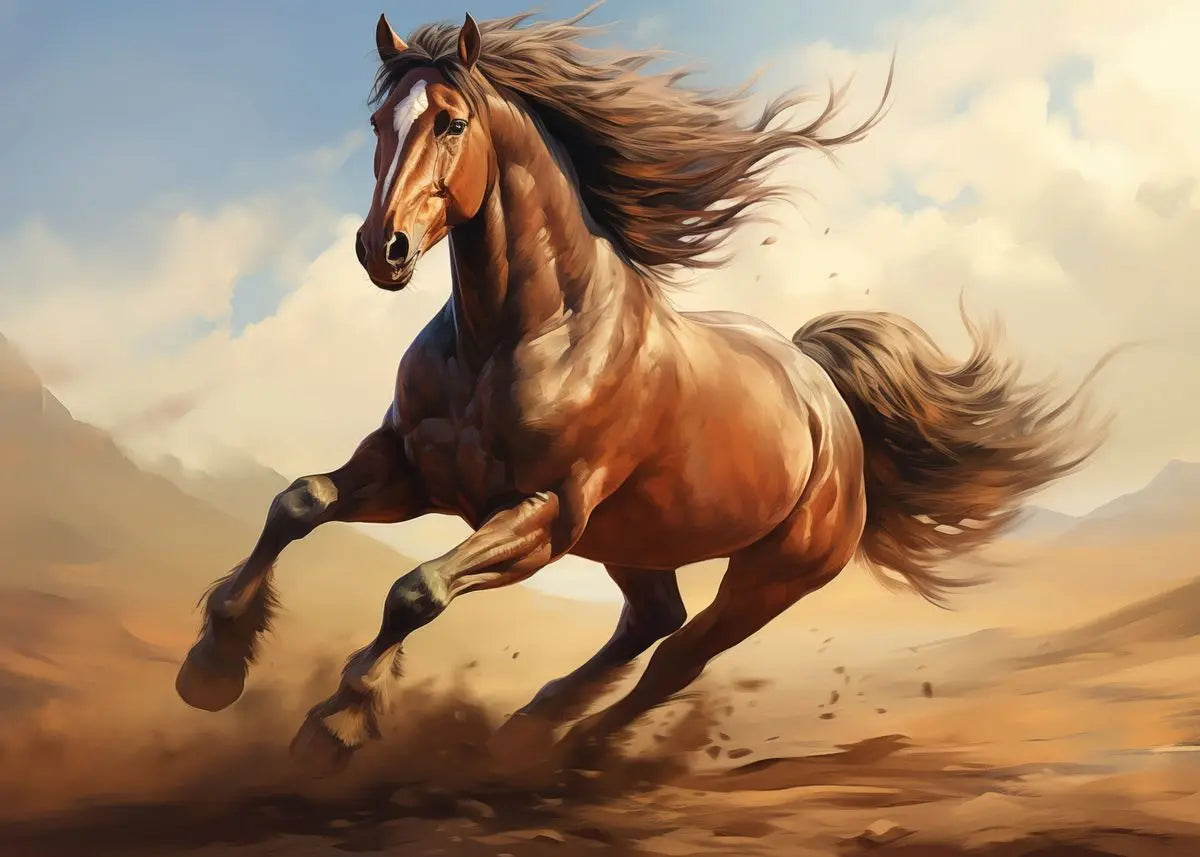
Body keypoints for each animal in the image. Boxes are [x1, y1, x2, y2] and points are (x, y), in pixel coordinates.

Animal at [175, 9, 1109, 775]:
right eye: (378, 121)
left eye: (451, 121)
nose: (385, 249)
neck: (515, 336)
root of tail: (827, 398)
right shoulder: (412, 467)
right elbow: (298, 502)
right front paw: (212, 667)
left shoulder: (543, 514)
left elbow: (418, 590)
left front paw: (335, 722)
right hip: (634, 539)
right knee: (652, 621)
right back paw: (529, 728)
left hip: (771, 576)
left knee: (678, 655)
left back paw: (571, 750)